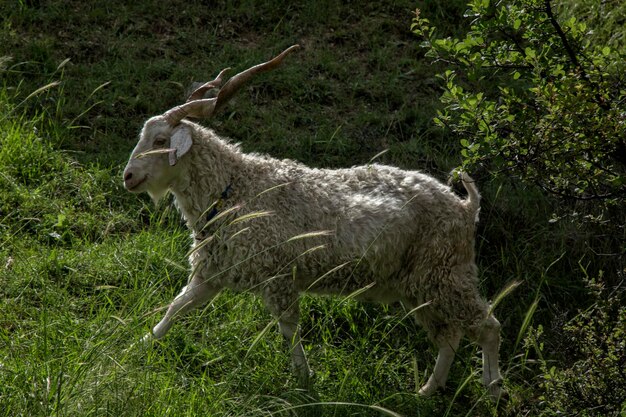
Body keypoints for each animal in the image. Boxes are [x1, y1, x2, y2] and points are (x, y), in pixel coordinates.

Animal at [122, 44, 502, 396]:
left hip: (445, 274)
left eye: (160, 140)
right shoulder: (214, 270)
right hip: (421, 285)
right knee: (450, 336)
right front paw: (139, 345)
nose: (128, 177)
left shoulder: (279, 276)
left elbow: (290, 330)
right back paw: (428, 391)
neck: (235, 188)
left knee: (487, 327)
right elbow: (177, 307)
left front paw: (304, 379)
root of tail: (466, 207)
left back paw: (494, 388)